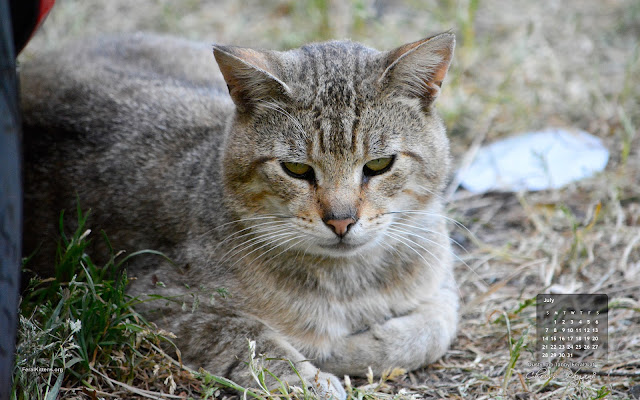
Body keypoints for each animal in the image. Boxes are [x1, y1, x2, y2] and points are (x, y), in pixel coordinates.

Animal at [21, 32, 460, 400]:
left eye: (379, 164)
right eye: (296, 169)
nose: (340, 220)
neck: (350, 283)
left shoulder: (441, 282)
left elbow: (434, 328)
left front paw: (349, 348)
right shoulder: (151, 300)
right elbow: (250, 340)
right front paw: (312, 378)